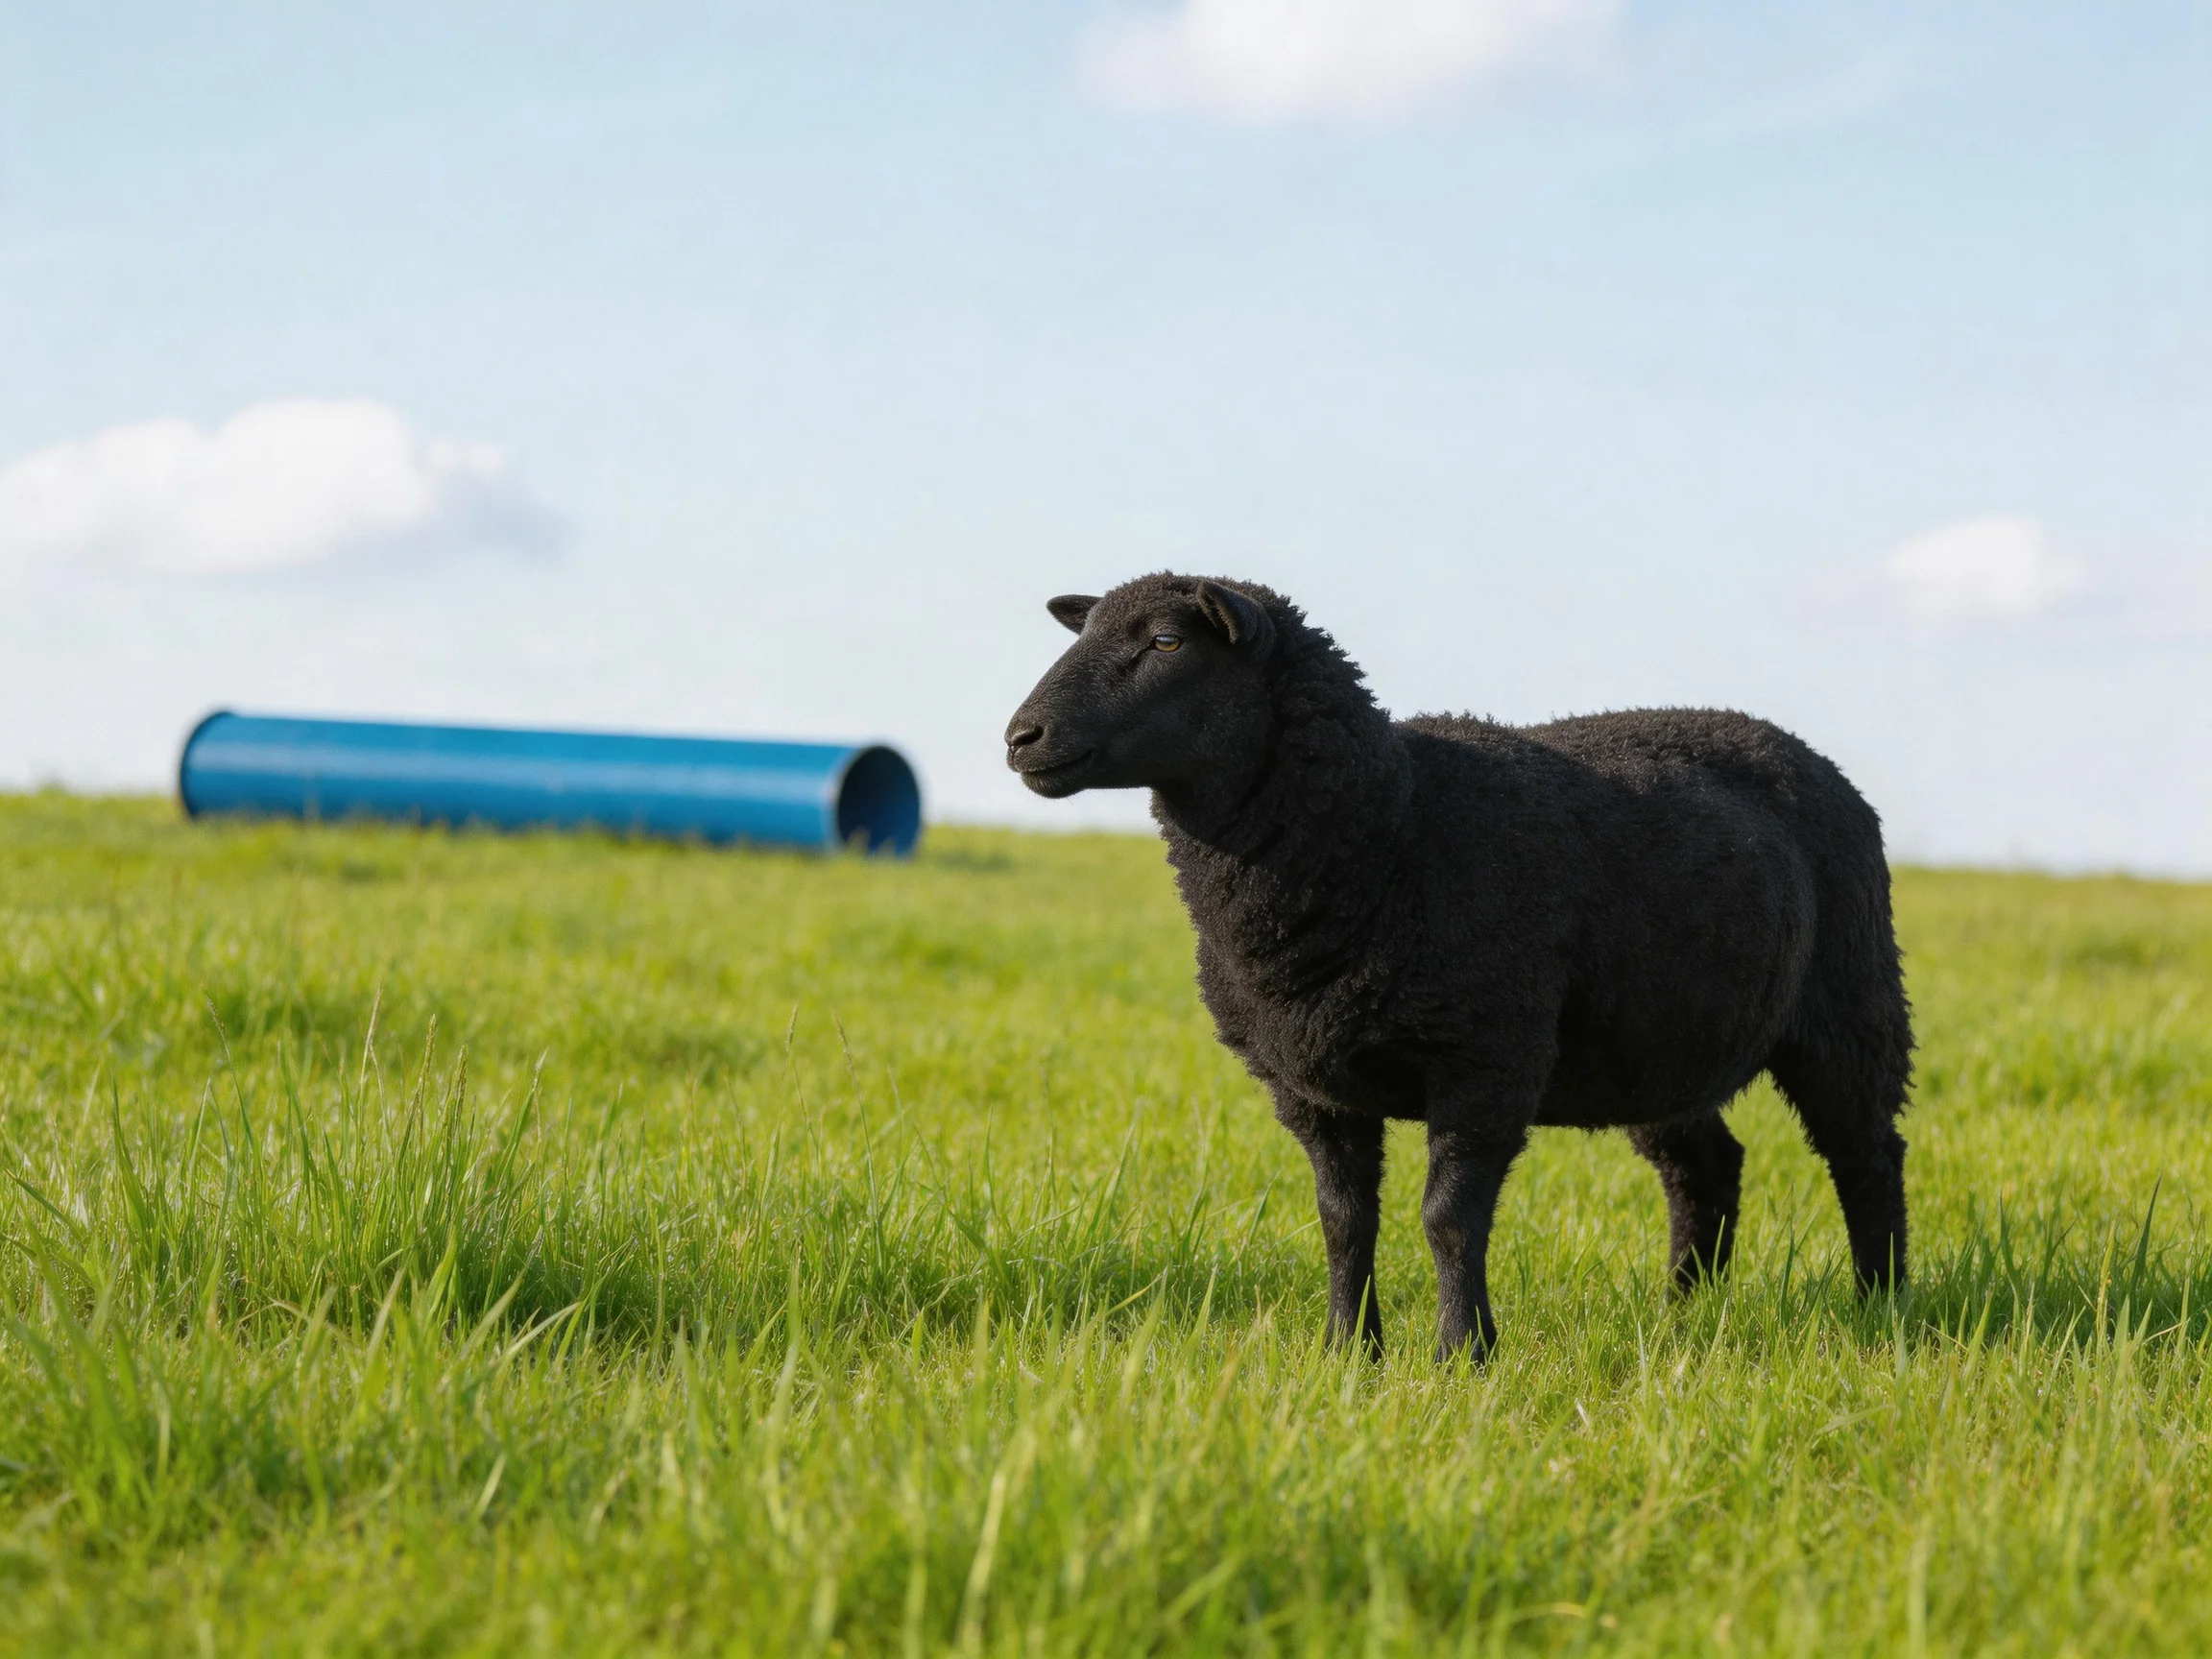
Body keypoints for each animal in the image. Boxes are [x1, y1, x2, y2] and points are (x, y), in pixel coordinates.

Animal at [1004, 573, 1913, 1361]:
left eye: (1165, 641)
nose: (1020, 739)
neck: (1391, 821)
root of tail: (1794, 747)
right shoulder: (1309, 1086)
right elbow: (1343, 1222)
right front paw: (1346, 1355)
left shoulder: (1485, 1056)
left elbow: (1447, 1219)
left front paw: (1461, 1357)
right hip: (1655, 1040)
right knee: (1706, 1167)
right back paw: (1685, 1314)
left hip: (1852, 1000)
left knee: (1867, 1154)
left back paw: (1883, 1308)